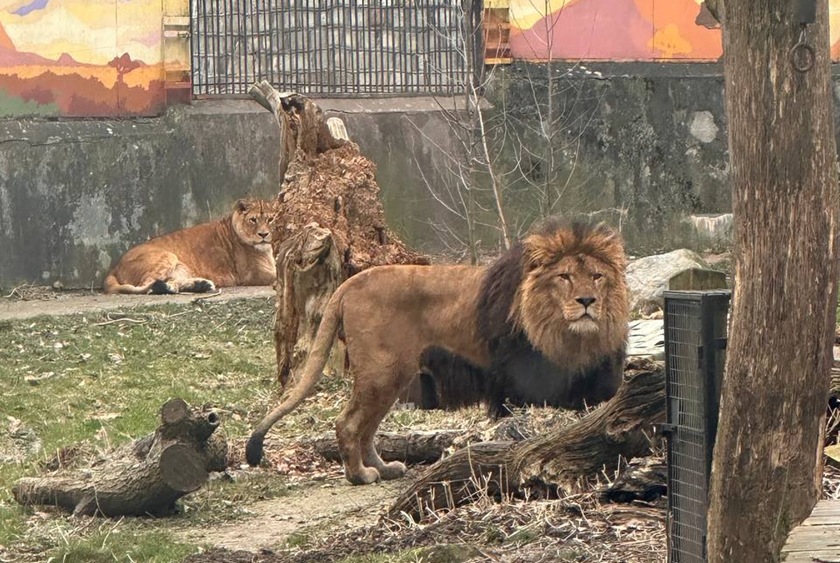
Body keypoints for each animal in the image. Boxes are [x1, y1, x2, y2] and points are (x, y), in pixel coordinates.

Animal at [103, 199, 278, 296]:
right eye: (253, 220)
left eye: (271, 219)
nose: (264, 234)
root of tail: (115, 266)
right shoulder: (253, 274)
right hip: (168, 256)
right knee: (147, 285)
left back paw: (200, 285)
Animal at [246, 219, 628, 484]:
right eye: (565, 277)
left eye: (597, 276)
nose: (587, 302)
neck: (565, 333)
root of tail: (350, 283)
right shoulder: (519, 380)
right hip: (383, 372)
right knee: (349, 423)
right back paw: (359, 476)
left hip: (393, 376)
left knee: (367, 427)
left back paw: (385, 468)